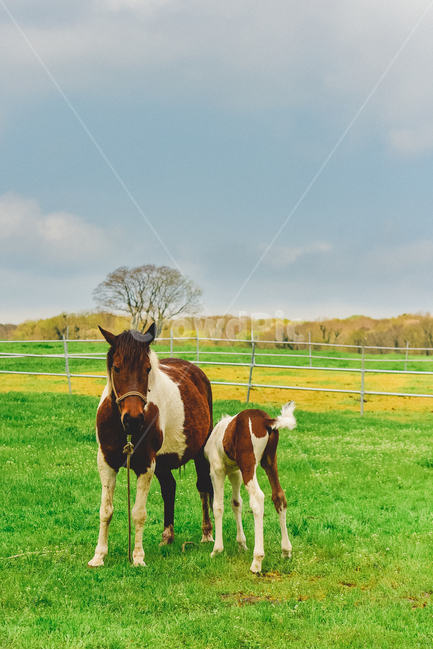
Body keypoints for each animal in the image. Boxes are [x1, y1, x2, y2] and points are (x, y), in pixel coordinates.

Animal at [88, 323, 214, 567]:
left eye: (147, 369)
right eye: (116, 368)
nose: (134, 419)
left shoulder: (146, 464)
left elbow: (138, 513)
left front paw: (137, 557)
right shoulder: (106, 462)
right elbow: (105, 510)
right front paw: (98, 556)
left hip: (200, 453)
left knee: (204, 486)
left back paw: (207, 533)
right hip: (163, 463)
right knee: (169, 488)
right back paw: (168, 537)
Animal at [204, 402, 296, 573]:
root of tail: (267, 421)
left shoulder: (217, 470)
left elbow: (218, 506)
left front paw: (217, 549)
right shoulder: (236, 472)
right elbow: (236, 503)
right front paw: (241, 544)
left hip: (249, 463)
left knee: (257, 499)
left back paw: (257, 561)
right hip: (269, 461)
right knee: (279, 496)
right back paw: (286, 551)